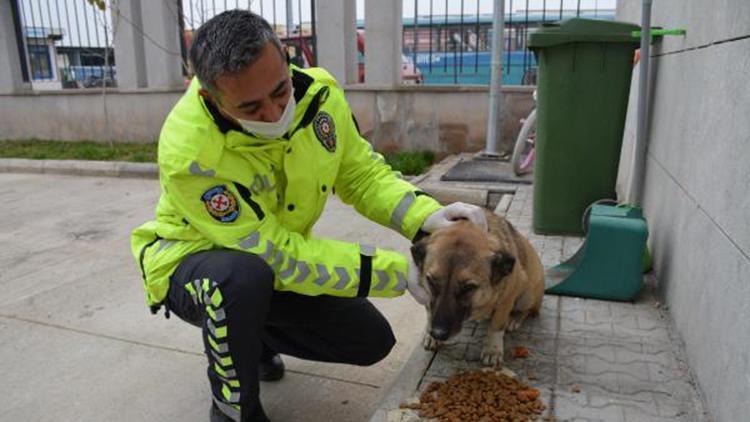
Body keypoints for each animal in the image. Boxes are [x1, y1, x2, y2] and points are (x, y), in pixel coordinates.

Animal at [412, 211, 548, 366]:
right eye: (431, 281)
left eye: (468, 287)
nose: (438, 333)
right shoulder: (427, 296)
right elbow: (430, 312)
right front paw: (430, 335)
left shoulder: (507, 298)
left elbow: (496, 325)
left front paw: (492, 349)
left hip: (526, 294)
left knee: (528, 311)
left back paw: (514, 319)